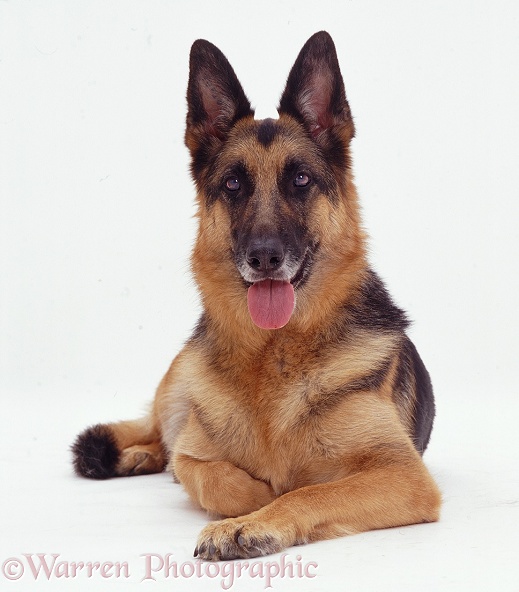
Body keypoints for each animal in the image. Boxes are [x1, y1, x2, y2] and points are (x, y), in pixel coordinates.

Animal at [72, 31, 438, 560]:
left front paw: (257, 521)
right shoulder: (197, 456)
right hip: (181, 382)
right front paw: (252, 503)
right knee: (160, 435)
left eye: (300, 179)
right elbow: (210, 475)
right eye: (233, 183)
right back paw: (137, 455)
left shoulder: (404, 476)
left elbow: (309, 491)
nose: (264, 257)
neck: (275, 353)